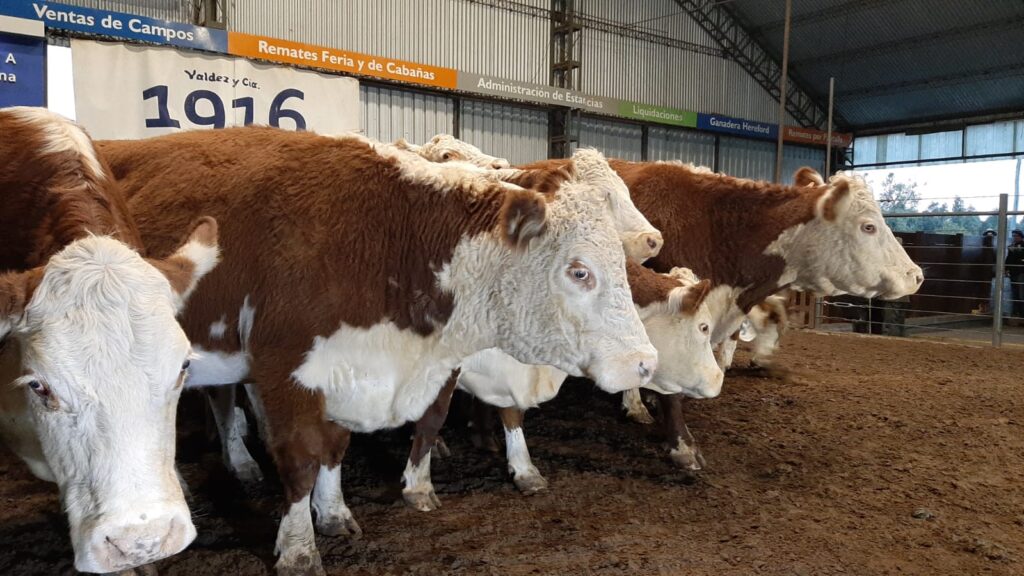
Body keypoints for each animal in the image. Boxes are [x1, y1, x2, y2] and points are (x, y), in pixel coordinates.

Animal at [97, 127, 658, 576]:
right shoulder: (285, 371)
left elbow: (343, 445)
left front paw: (338, 512)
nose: (645, 362)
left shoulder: (359, 369)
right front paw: (299, 548)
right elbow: (301, 459)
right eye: (579, 271)